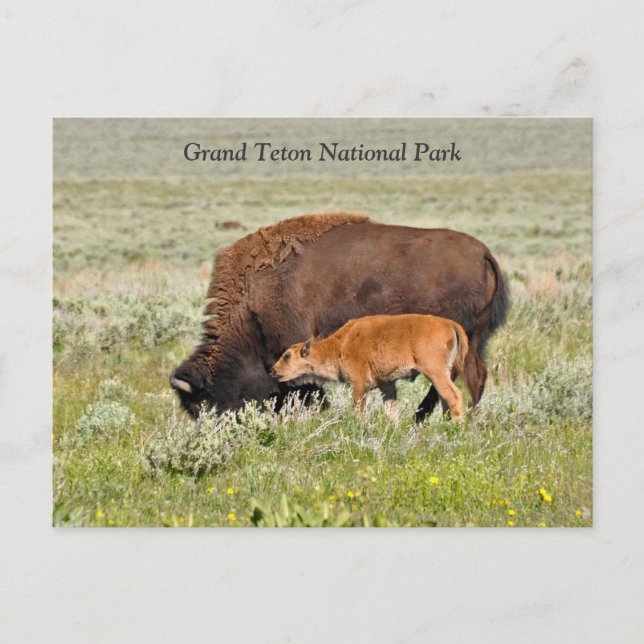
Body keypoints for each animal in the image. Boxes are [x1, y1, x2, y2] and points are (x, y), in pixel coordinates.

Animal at [271, 314, 469, 420]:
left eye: (287, 355)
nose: (273, 370)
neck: (340, 344)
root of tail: (449, 324)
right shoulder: (386, 385)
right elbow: (391, 411)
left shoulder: (358, 386)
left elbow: (360, 411)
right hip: (443, 374)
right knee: (444, 399)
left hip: (435, 372)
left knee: (454, 396)